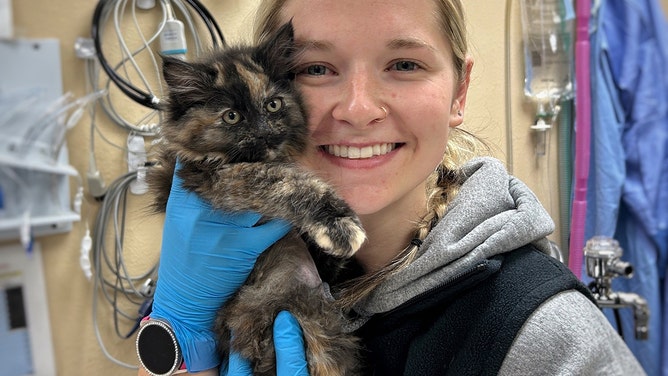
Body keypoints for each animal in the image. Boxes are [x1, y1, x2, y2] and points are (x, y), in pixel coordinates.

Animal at [148, 23, 362, 376]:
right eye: (232, 117)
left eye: (273, 105)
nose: (265, 134)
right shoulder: (220, 178)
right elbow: (286, 181)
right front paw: (338, 223)